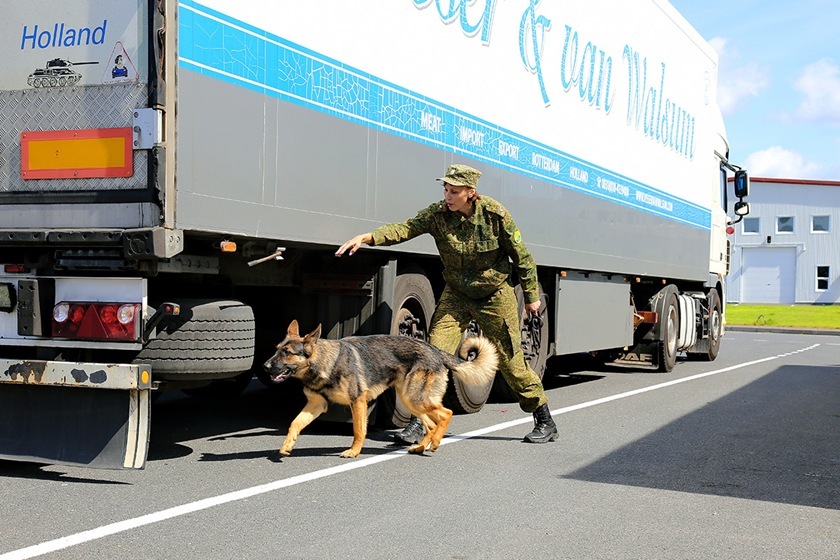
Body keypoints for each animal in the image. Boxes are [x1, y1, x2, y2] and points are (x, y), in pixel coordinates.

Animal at [264, 322, 498, 458]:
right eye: (276, 349)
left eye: (287, 353)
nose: (265, 367)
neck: (325, 362)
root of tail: (436, 350)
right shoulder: (316, 405)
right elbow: (294, 424)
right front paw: (287, 446)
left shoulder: (357, 402)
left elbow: (359, 431)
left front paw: (354, 451)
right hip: (410, 400)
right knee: (431, 424)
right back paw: (421, 447)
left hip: (415, 399)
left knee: (446, 414)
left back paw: (435, 443)